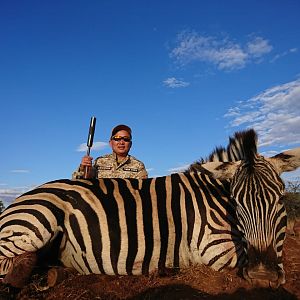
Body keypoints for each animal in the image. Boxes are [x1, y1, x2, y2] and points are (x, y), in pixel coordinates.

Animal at [0, 129, 298, 288]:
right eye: (236, 202)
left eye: (280, 199)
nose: (263, 276)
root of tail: (18, 201)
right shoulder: (214, 248)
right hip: (38, 221)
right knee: (8, 265)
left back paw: (52, 272)